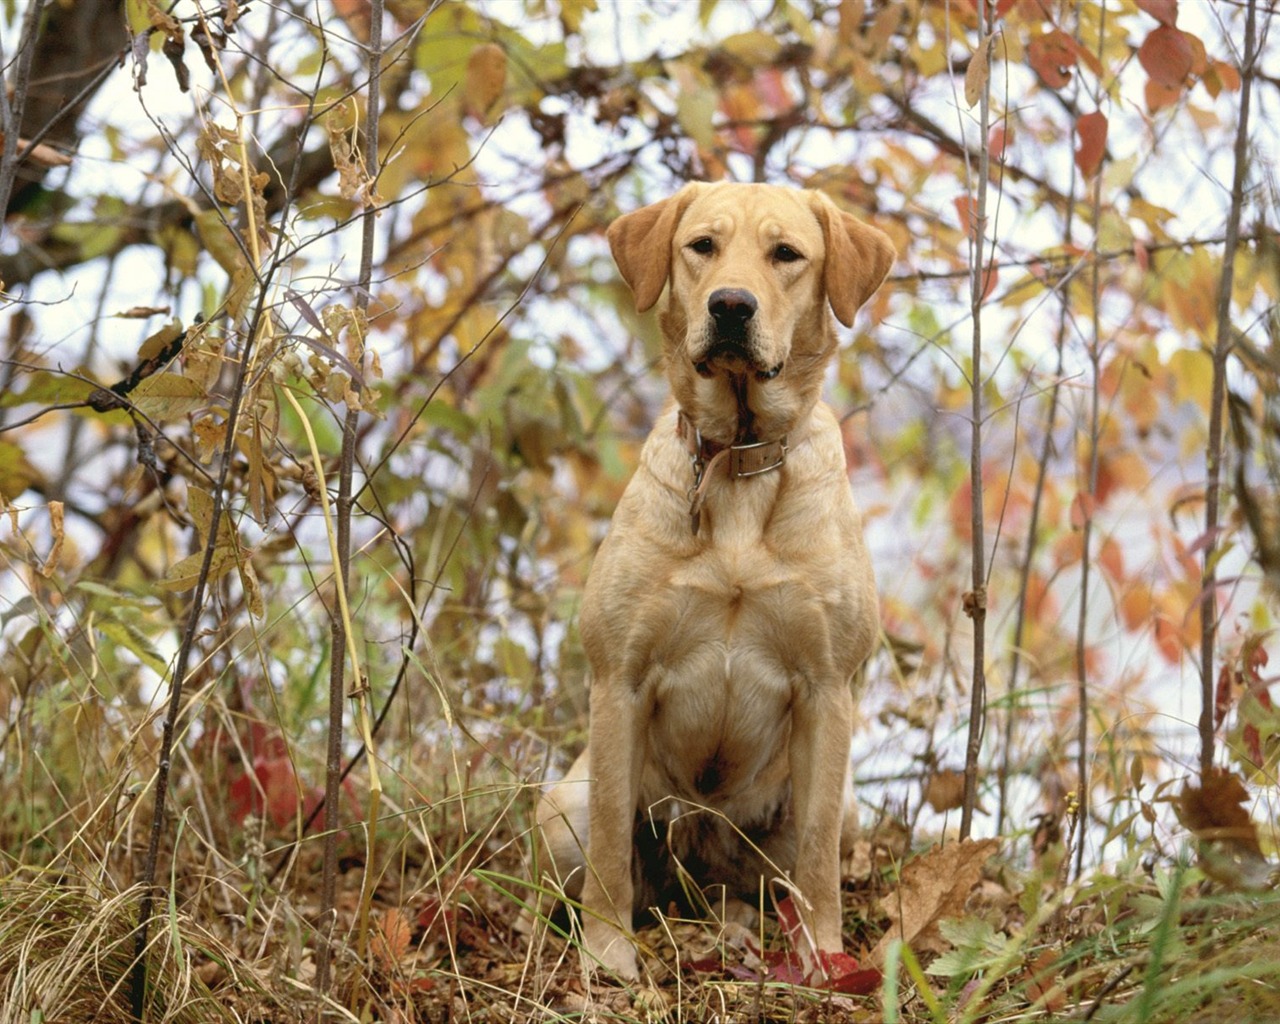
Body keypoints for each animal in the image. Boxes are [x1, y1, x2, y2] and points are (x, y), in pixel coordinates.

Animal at [535, 180, 896, 977]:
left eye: (786, 254)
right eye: (702, 245)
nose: (731, 305)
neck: (737, 460)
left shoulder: (828, 687)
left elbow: (818, 858)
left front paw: (824, 962)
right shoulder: (619, 680)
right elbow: (612, 843)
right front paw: (608, 955)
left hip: (837, 810)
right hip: (562, 806)